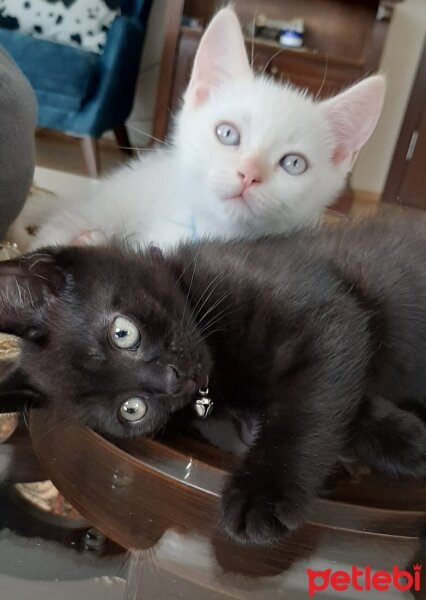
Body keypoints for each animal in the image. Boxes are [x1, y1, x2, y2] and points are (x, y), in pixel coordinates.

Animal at [0, 216, 426, 544]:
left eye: (122, 333)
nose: (173, 379)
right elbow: (340, 398)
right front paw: (407, 441)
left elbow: (309, 407)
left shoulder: (327, 316)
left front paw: (262, 493)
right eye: (131, 409)